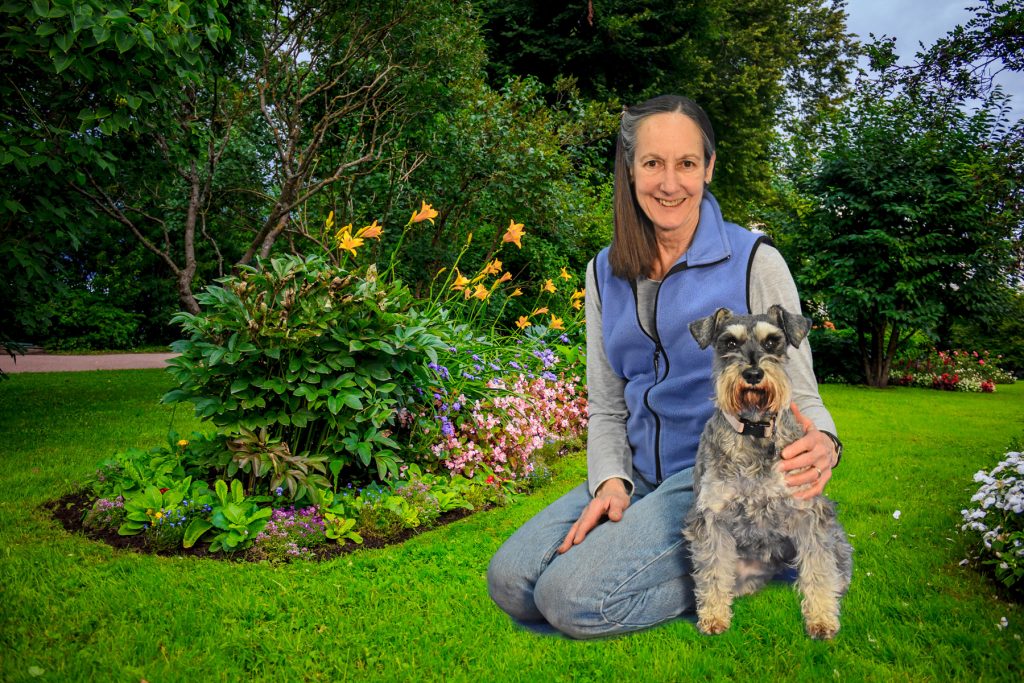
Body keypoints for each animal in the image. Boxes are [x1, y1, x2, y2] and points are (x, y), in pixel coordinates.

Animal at [682, 305, 853, 639]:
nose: (753, 374)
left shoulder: (808, 512)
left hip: (835, 535)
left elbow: (818, 568)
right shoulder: (711, 517)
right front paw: (713, 616)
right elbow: (712, 570)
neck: (754, 428)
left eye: (773, 341)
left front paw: (821, 619)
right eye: (729, 343)